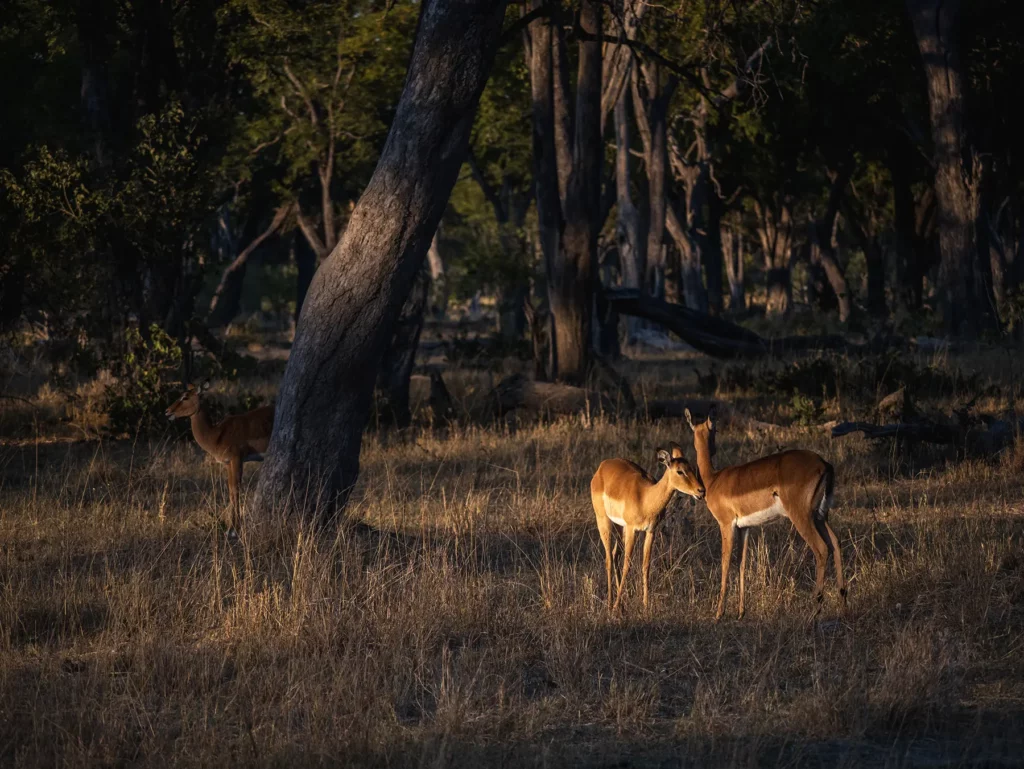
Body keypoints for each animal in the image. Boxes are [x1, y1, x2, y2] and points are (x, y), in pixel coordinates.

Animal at [165, 382, 274, 533]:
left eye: (185, 397)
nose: (167, 411)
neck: (216, 434)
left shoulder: (237, 459)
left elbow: (236, 490)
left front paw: (234, 529)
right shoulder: (228, 463)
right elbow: (230, 491)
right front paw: (231, 527)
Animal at [591, 443, 706, 612]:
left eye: (692, 467)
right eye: (680, 471)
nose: (701, 491)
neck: (645, 498)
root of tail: (603, 465)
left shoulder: (651, 531)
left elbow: (646, 565)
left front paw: (645, 605)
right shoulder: (632, 529)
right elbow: (627, 565)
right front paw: (616, 607)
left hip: (619, 526)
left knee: (615, 555)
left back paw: (622, 601)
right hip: (604, 521)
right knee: (608, 559)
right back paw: (611, 603)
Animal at [685, 405, 846, 620]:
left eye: (715, 429)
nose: (714, 448)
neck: (713, 479)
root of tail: (824, 464)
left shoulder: (725, 524)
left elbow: (725, 563)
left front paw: (719, 614)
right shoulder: (744, 528)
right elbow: (741, 563)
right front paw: (741, 612)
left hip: (802, 517)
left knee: (822, 549)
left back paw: (816, 609)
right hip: (820, 516)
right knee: (835, 543)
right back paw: (844, 604)